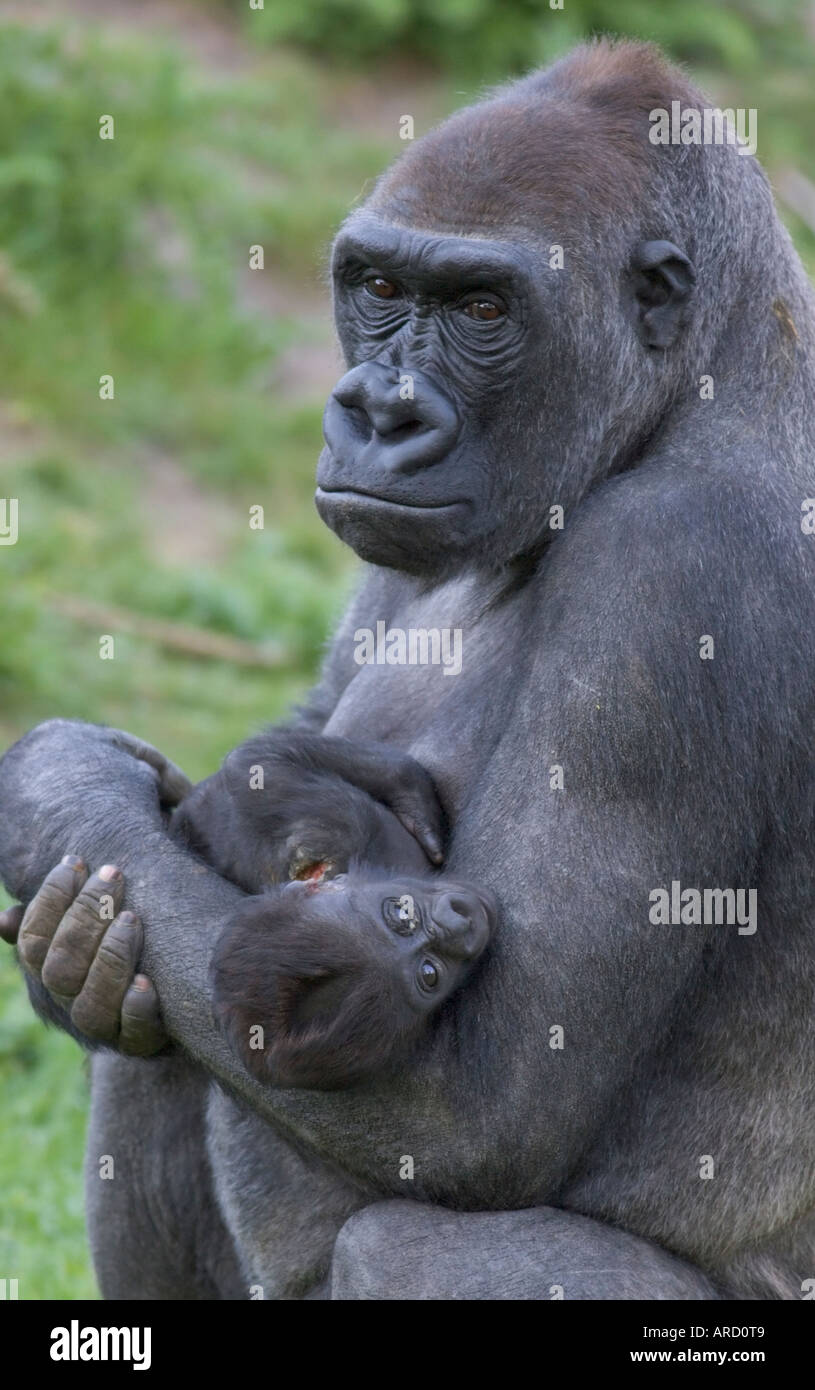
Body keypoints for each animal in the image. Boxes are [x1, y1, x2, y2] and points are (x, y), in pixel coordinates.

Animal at [173, 733, 492, 1089]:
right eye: (430, 974)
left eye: (401, 914)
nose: (461, 925)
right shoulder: (345, 827)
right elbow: (258, 764)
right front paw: (412, 794)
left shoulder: (346, 831)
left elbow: (258, 765)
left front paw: (413, 800)